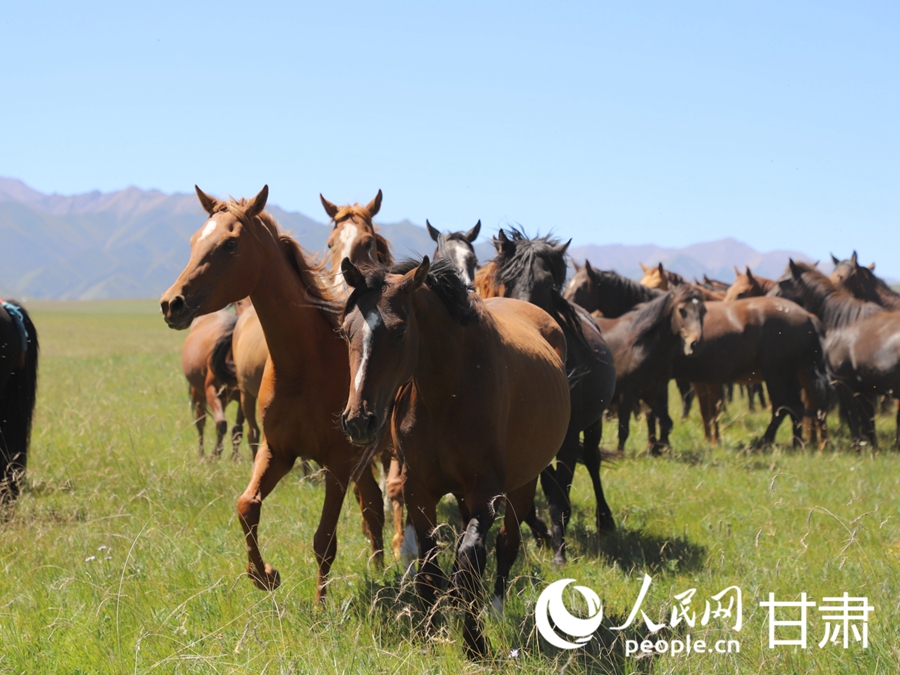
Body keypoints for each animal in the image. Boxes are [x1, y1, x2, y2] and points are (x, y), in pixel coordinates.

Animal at [160, 186, 385, 600]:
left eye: (230, 244)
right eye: (195, 241)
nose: (172, 303)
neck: (304, 367)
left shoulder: (337, 464)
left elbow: (324, 540)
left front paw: (320, 605)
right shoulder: (277, 451)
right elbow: (246, 505)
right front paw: (264, 575)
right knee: (373, 504)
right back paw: (378, 567)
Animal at [339, 255, 571, 657]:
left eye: (399, 332)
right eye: (344, 331)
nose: (358, 421)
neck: (448, 392)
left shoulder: (486, 494)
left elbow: (470, 560)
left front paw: (475, 642)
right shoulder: (419, 490)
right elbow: (430, 568)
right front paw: (429, 632)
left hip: (522, 485)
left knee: (506, 544)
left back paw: (494, 611)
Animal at [483, 230, 618, 562]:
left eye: (547, 284)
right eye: (507, 279)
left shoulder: (568, 437)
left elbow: (560, 491)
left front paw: (559, 549)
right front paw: (541, 532)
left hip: (593, 424)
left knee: (593, 461)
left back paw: (605, 520)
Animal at [593, 286, 706, 453]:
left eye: (703, 311)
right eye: (682, 310)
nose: (695, 345)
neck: (641, 347)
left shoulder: (654, 392)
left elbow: (666, 422)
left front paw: (659, 448)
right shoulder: (626, 394)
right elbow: (624, 428)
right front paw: (620, 452)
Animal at [771, 260, 900, 448]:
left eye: (781, 282)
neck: (843, 323)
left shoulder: (844, 383)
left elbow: (854, 416)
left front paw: (857, 447)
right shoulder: (864, 388)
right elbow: (867, 420)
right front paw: (873, 448)